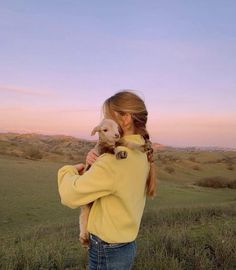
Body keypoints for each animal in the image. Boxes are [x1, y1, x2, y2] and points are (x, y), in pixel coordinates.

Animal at [79, 118, 146, 247]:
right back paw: (84, 239)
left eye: (116, 127)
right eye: (104, 130)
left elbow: (129, 144)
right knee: (82, 219)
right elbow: (112, 150)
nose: (116, 134)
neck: (111, 142)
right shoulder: (103, 149)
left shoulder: (121, 141)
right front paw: (120, 153)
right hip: (85, 207)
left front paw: (142, 147)